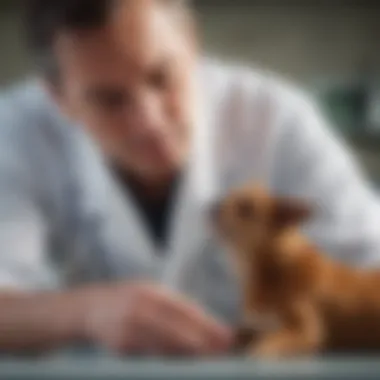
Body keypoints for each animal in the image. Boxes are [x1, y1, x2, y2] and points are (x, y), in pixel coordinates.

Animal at [212, 186, 380, 358]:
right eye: (226, 197)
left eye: (246, 208)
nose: (213, 207)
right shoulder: (253, 325)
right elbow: (242, 331)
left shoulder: (306, 332)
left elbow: (267, 343)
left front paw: (255, 349)